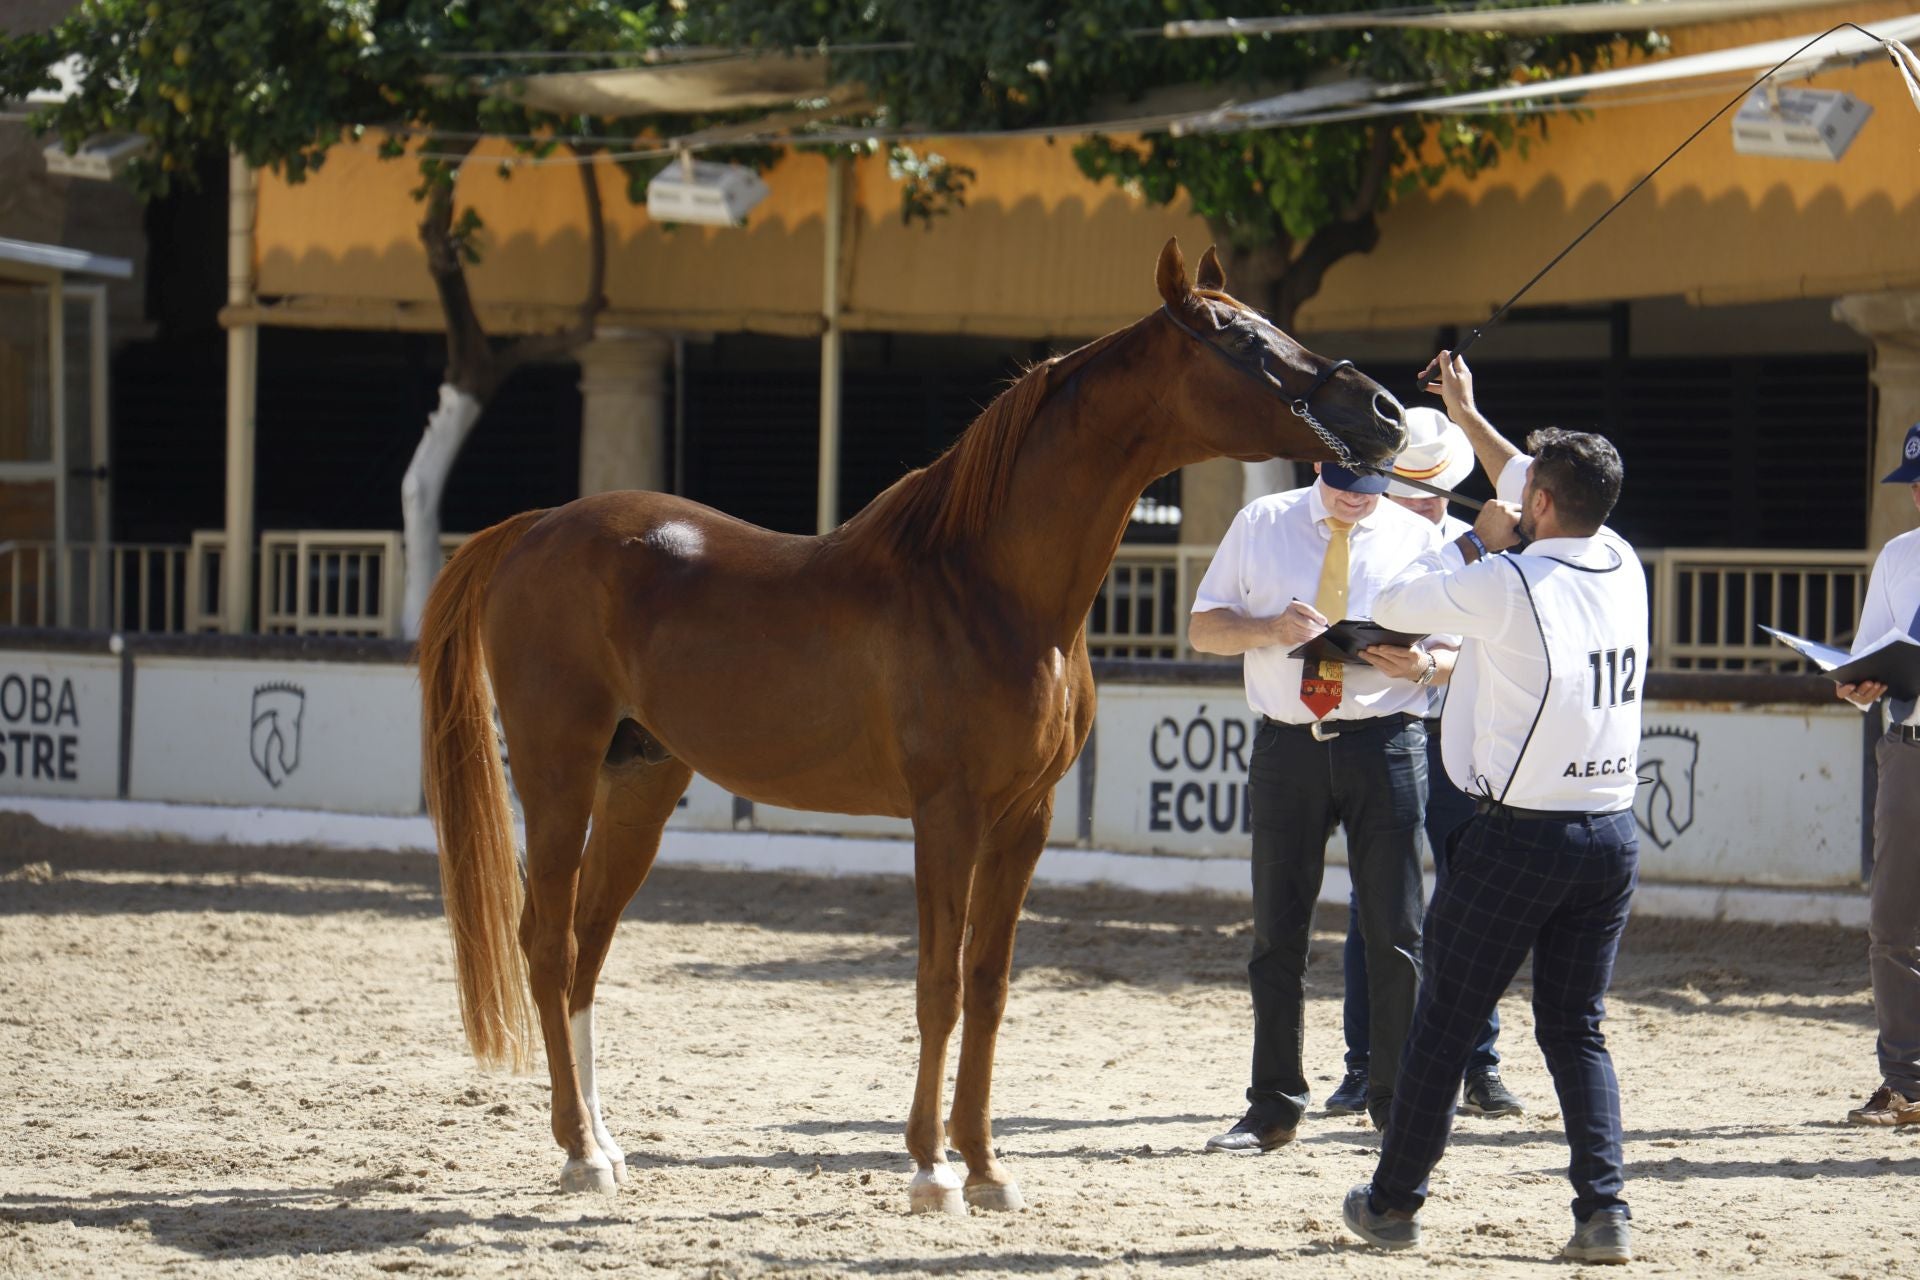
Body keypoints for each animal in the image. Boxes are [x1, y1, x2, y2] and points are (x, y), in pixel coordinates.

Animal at [416, 237, 1407, 1213]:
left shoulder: (1024, 820)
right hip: (557, 771)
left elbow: (989, 985)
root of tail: (536, 527)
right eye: (1238, 339)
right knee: (547, 944)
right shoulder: (948, 813)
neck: (991, 586)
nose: (1387, 411)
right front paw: (932, 1169)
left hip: (641, 782)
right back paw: (580, 1152)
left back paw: (604, 1144)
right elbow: (937, 984)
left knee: (587, 947)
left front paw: (987, 1166)